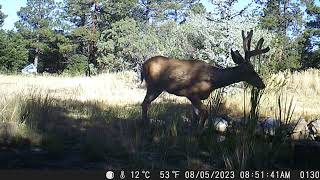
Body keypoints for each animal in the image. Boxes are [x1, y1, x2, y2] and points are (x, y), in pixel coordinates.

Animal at [140, 30, 270, 132]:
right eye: (251, 70)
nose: (262, 85)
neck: (213, 81)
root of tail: (143, 65)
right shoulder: (190, 92)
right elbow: (205, 113)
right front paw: (199, 133)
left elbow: (196, 116)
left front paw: (194, 130)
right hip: (153, 86)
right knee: (145, 103)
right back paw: (145, 126)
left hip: (155, 88)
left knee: (145, 103)